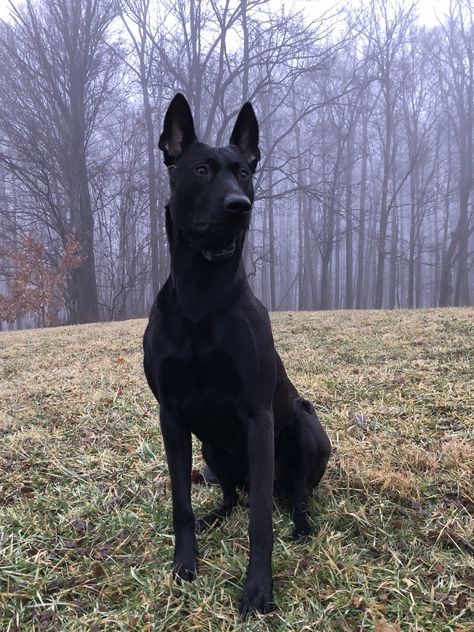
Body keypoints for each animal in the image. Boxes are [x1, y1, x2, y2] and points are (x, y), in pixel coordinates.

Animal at [143, 94, 332, 612]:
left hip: (303, 425)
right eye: (202, 170)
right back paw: (216, 517)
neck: (202, 295)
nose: (239, 205)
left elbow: (261, 521)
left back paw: (302, 524)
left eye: (244, 172)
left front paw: (258, 588)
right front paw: (184, 564)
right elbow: (181, 503)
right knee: (230, 498)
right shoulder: (172, 416)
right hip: (211, 448)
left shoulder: (258, 416)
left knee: (293, 496)